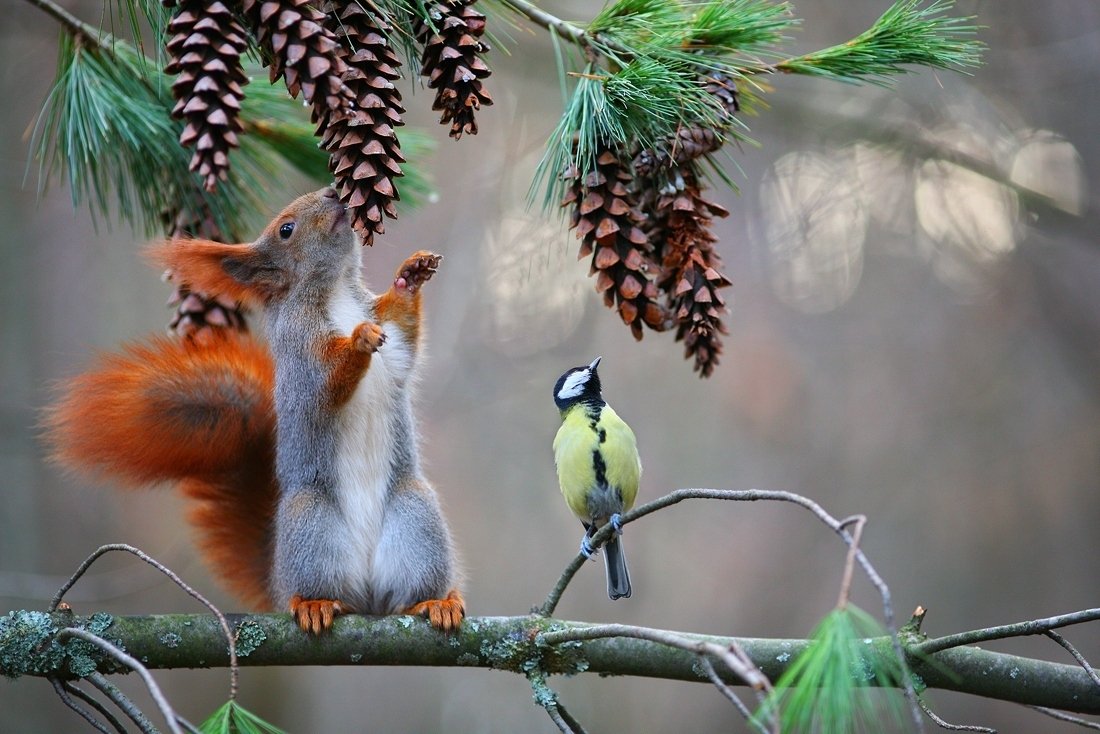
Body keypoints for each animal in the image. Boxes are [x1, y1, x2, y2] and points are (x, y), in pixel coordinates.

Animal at [44, 187, 459, 633]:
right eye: (286, 229)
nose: (334, 191)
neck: (334, 292)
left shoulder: (387, 336)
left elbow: (400, 343)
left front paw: (410, 276)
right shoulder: (300, 356)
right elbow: (325, 383)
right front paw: (359, 339)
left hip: (415, 517)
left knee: (406, 591)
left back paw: (437, 602)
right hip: (311, 524)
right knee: (321, 588)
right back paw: (314, 603)